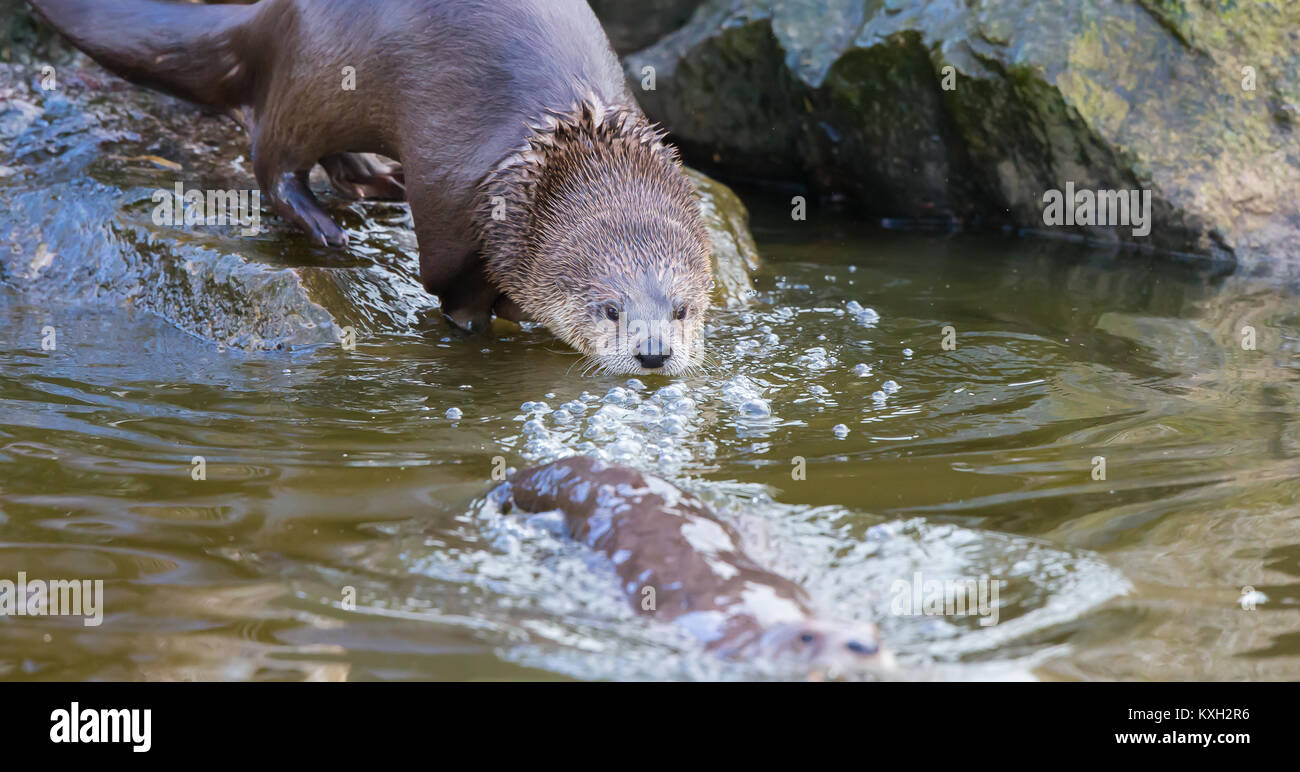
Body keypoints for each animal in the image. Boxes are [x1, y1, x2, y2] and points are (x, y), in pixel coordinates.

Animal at [26, 0, 713, 375]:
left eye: (681, 309)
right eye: (611, 308)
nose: (654, 353)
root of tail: (269, 16)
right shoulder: (454, 192)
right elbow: (449, 280)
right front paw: (475, 323)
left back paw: (378, 180)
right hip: (314, 79)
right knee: (272, 158)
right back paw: (325, 227)